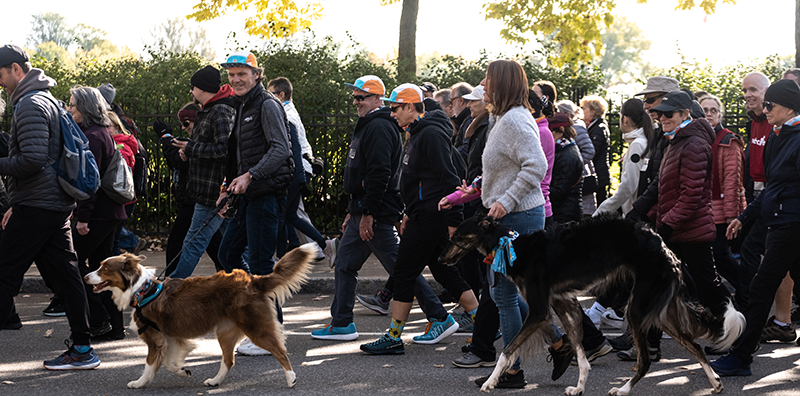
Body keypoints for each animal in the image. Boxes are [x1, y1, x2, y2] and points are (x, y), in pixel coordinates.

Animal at [84, 243, 316, 388]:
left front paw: (139, 383)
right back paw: (215, 381)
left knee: (281, 352)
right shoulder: (169, 337)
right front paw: (182, 371)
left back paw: (291, 378)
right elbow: (168, 363)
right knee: (229, 360)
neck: (142, 291)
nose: (85, 277)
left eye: (104, 268)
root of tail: (252, 280)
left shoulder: (154, 338)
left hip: (255, 328)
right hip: (225, 332)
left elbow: (150, 365)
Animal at [440, 215, 748, 394]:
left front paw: (490, 381)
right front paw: (578, 387)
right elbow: (579, 350)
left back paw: (623, 389)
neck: (513, 248)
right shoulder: (565, 305)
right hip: (661, 314)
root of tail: (666, 249)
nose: (441, 259)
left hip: (637, 310)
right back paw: (715, 383)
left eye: (458, 237)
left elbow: (507, 350)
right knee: (695, 346)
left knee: (647, 360)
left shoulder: (539, 311)